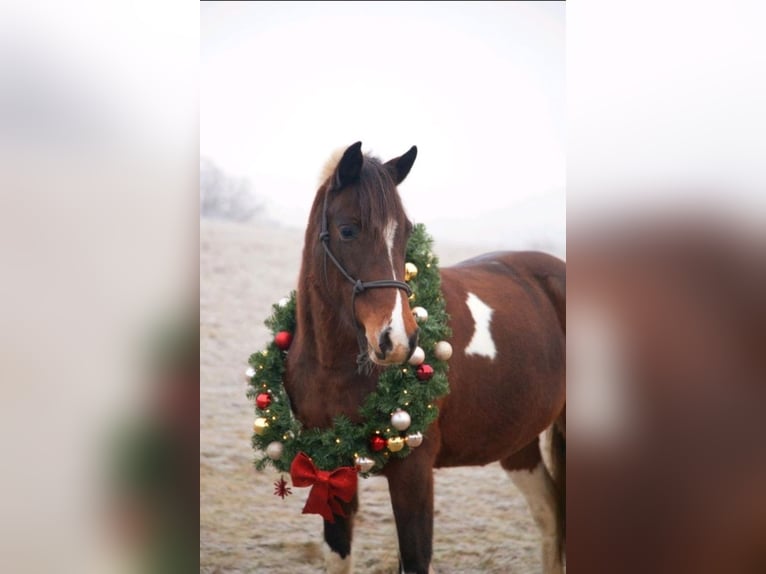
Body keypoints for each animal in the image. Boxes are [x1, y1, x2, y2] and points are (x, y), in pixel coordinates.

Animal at [284, 143, 568, 574]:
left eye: (405, 231)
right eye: (348, 230)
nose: (398, 340)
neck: (332, 370)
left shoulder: (413, 474)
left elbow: (416, 557)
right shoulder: (330, 469)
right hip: (518, 442)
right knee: (550, 515)